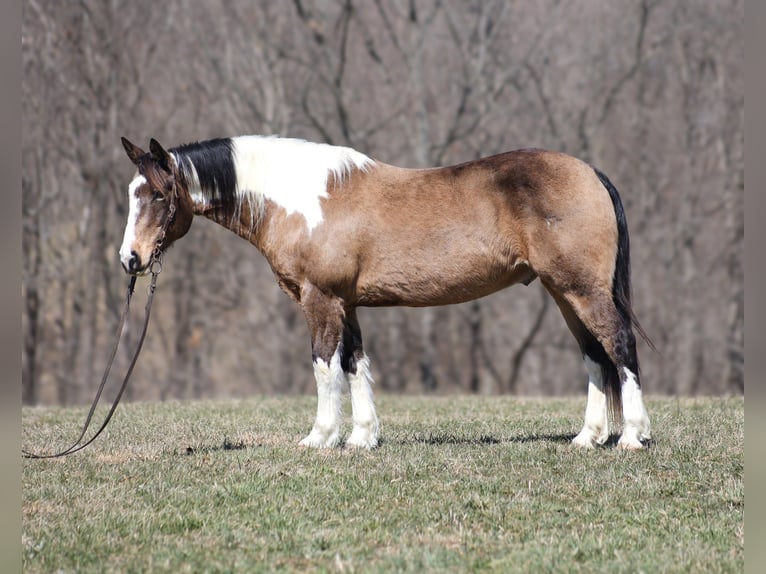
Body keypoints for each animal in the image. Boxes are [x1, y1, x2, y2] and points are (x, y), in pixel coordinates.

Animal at [118, 137, 656, 452]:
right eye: (131, 192)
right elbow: (356, 365)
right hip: (564, 294)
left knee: (619, 346)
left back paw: (632, 436)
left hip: (580, 290)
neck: (299, 199)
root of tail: (591, 173)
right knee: (594, 356)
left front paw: (320, 437)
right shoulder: (347, 303)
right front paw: (362, 438)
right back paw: (587, 438)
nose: (130, 259)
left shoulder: (320, 299)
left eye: (160, 195)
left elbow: (324, 366)